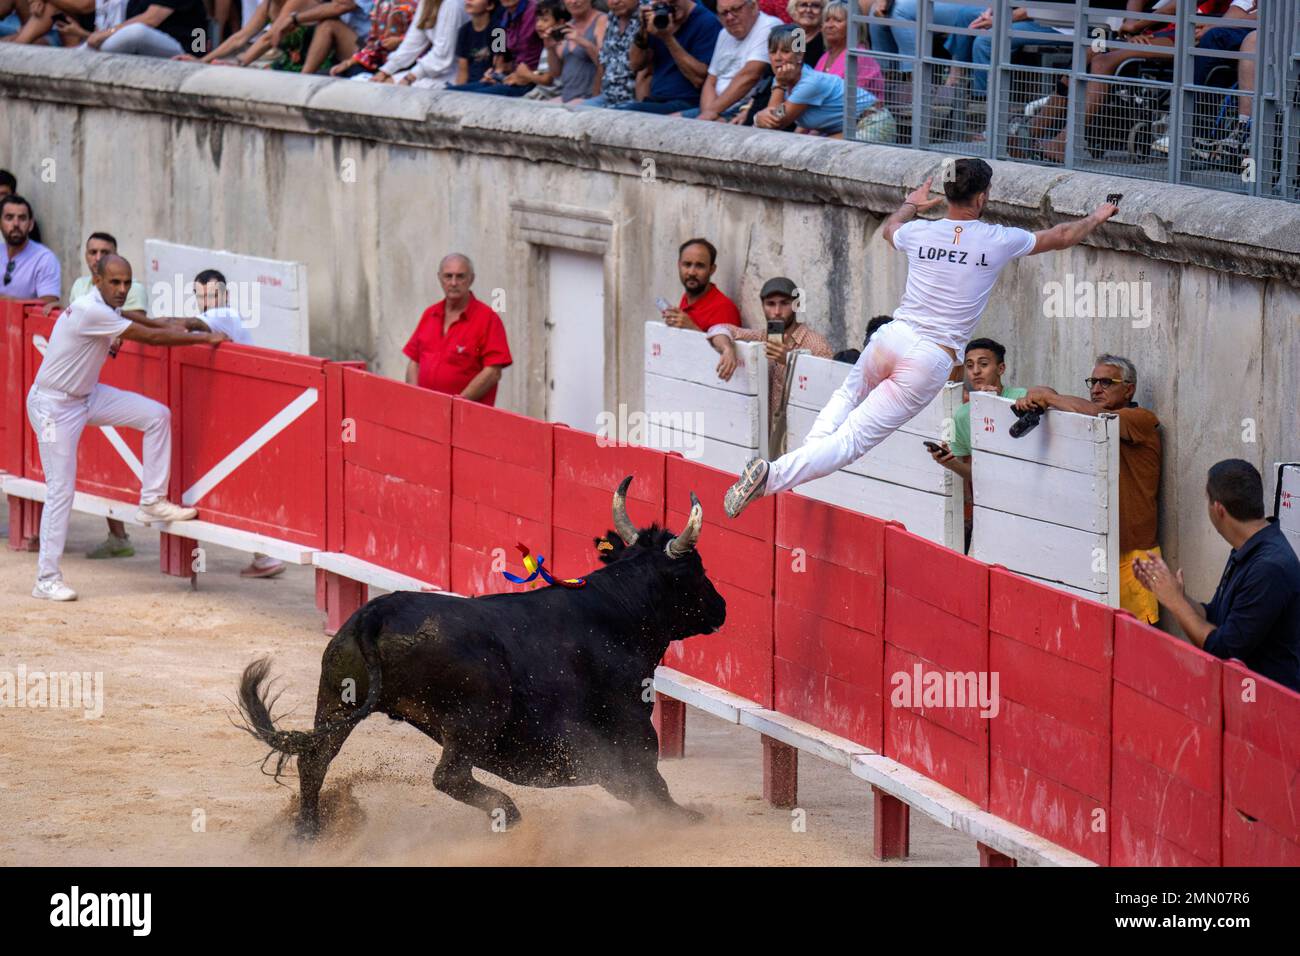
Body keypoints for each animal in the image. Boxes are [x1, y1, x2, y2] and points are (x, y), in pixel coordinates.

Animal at [233, 478, 722, 837]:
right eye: (697, 569)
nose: (721, 608)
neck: (616, 609)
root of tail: (377, 612)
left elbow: (634, 784)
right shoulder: (630, 723)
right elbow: (651, 780)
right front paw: (685, 817)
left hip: (338, 699)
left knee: (315, 758)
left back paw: (307, 834)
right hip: (476, 715)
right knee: (448, 776)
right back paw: (509, 814)